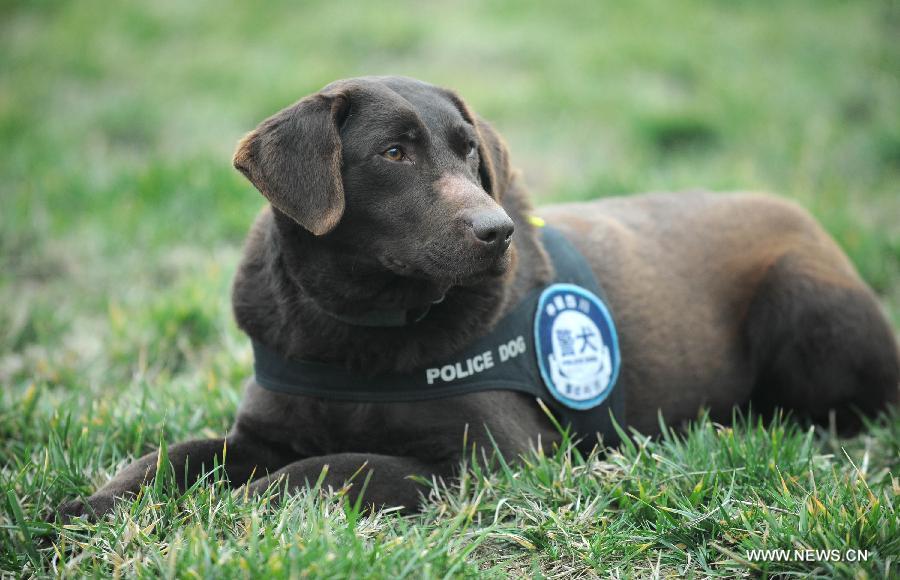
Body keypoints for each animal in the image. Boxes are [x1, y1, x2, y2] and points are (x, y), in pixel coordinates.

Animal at [54, 78, 892, 520]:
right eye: (393, 153)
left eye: (468, 154)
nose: (498, 233)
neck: (355, 328)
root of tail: (808, 221)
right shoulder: (260, 429)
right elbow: (170, 457)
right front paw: (86, 510)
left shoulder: (493, 458)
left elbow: (337, 466)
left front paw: (245, 504)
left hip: (807, 308)